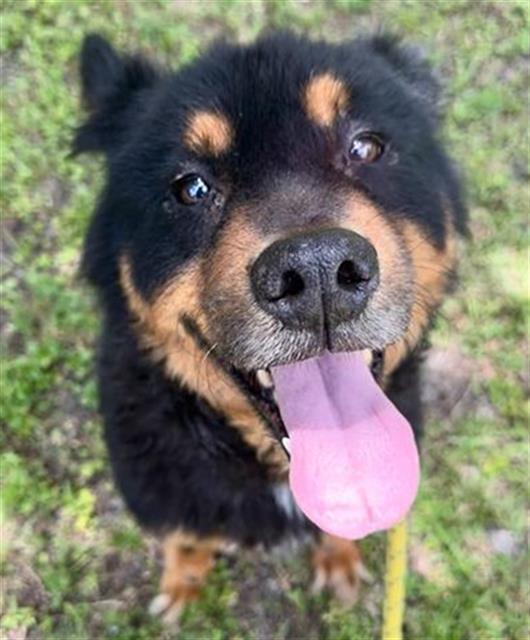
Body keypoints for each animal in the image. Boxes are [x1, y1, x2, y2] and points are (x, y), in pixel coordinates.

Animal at [73, 31, 462, 624]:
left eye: (366, 147)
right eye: (190, 187)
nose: (319, 270)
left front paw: (339, 564)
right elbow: (187, 537)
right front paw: (182, 586)